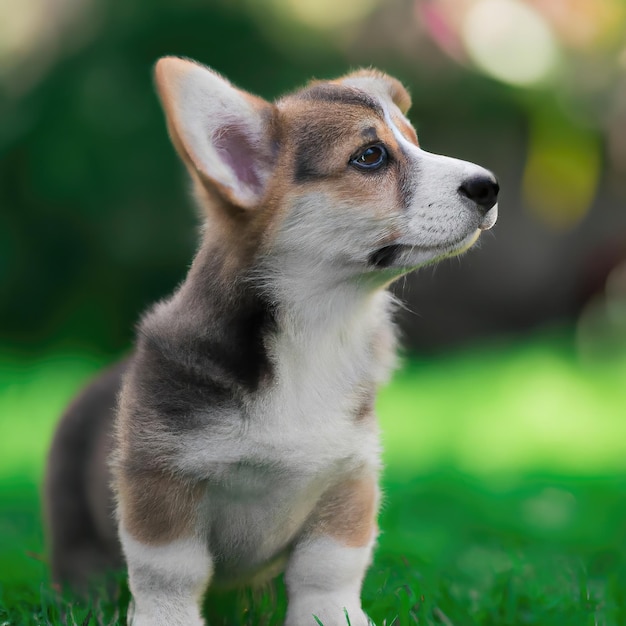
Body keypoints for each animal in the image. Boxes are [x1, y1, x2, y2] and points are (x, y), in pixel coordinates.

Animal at [44, 56, 498, 620]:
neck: (315, 331)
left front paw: (334, 619)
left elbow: (329, 569)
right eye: (370, 157)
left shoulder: (348, 481)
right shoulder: (161, 482)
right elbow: (169, 572)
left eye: (416, 141)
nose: (490, 185)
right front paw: (166, 620)